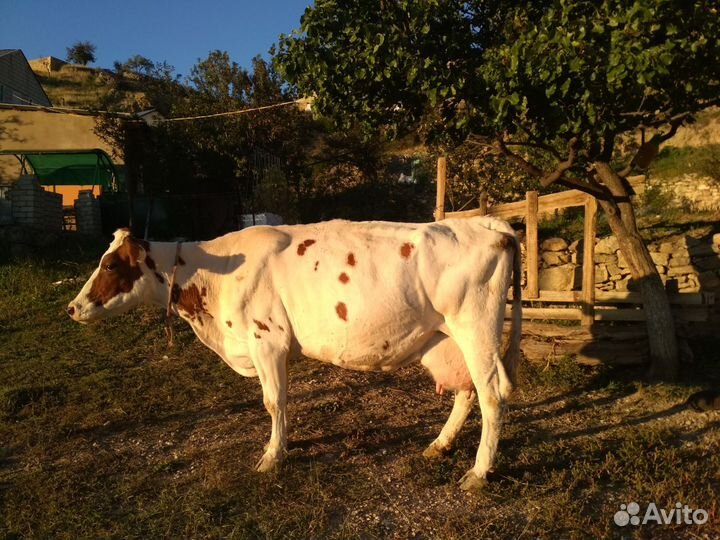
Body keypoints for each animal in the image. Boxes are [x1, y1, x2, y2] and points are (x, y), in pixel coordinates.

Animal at [68, 217, 521, 491]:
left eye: (110, 265)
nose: (72, 307)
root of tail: (485, 223)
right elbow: (281, 401)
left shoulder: (266, 340)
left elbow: (273, 402)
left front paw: (272, 456)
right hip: (448, 339)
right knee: (467, 391)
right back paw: (440, 445)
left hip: (475, 328)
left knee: (493, 395)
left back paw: (478, 472)